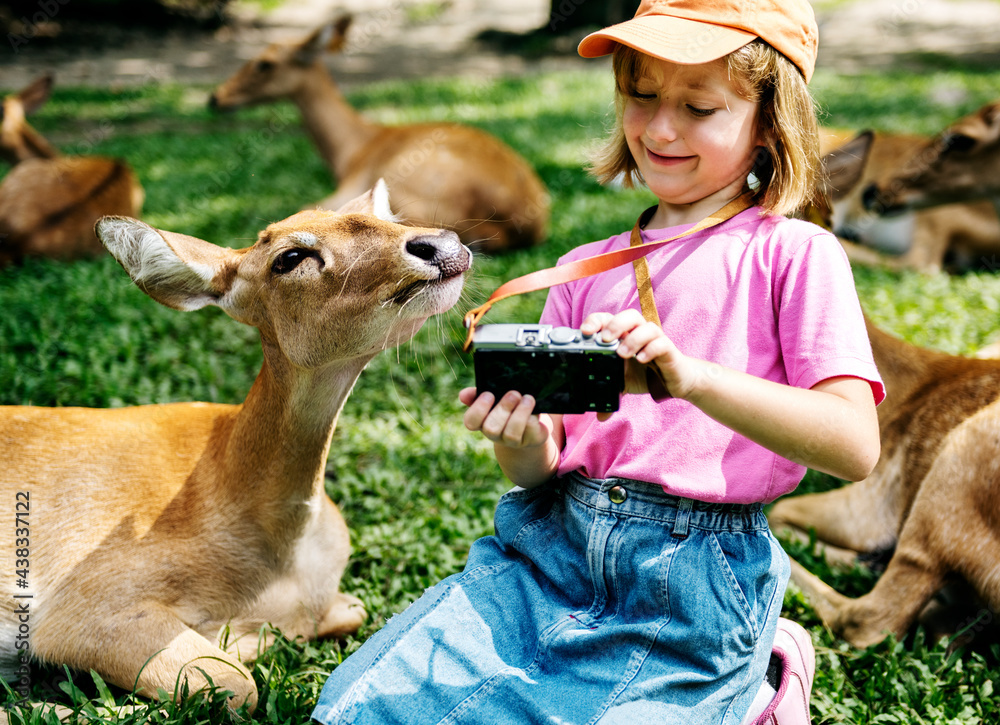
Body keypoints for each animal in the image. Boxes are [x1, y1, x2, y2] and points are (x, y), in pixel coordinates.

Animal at [0, 181, 472, 712]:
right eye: (290, 257)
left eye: (388, 220)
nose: (441, 244)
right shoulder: (86, 606)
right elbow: (238, 683)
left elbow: (350, 610)